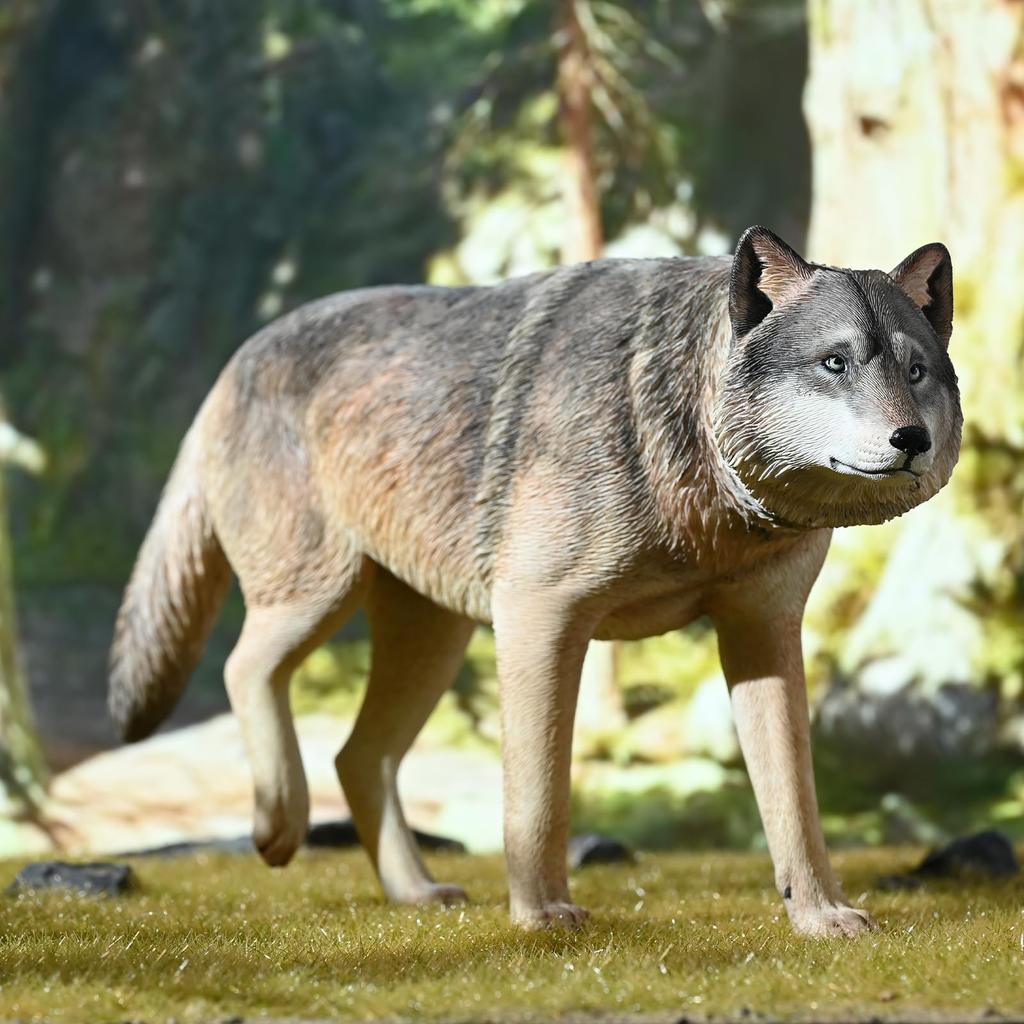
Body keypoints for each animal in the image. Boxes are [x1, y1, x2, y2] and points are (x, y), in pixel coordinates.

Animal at [109, 226, 961, 936]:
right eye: (835, 363)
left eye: (916, 371)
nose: (911, 439)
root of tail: (236, 359)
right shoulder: (540, 620)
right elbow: (540, 797)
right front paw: (542, 915)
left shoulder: (762, 635)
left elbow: (796, 807)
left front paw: (821, 917)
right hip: (315, 597)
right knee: (243, 669)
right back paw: (276, 826)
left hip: (432, 643)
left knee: (357, 756)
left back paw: (414, 892)